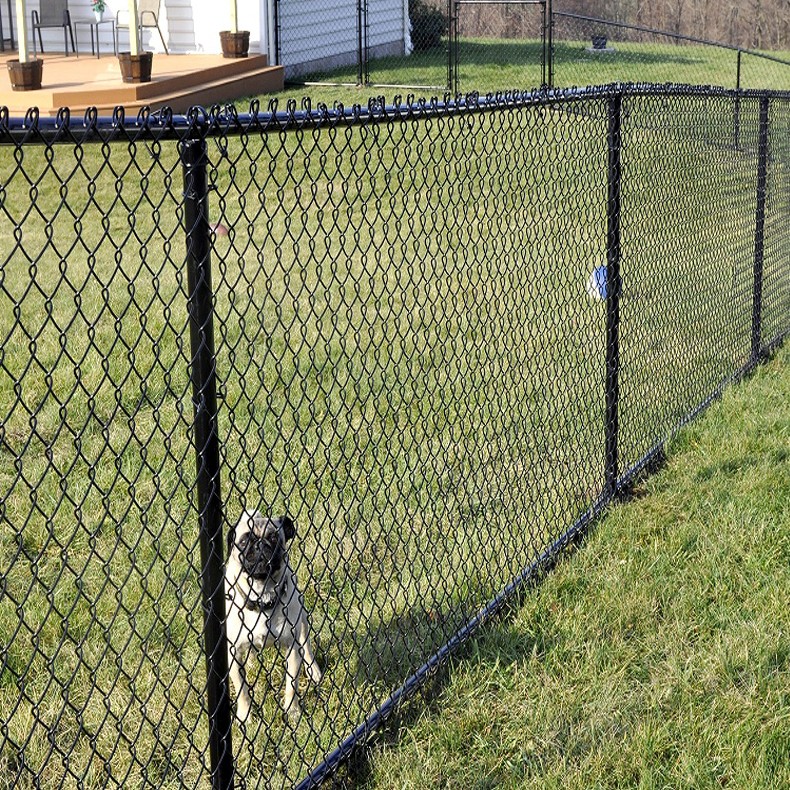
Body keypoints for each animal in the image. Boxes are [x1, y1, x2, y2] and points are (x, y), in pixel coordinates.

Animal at [224, 512, 324, 724]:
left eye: (273, 537)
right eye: (244, 541)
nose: (260, 544)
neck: (263, 595)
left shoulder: (292, 648)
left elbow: (291, 686)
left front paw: (292, 712)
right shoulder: (233, 654)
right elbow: (242, 691)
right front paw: (245, 716)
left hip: (302, 619)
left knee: (306, 644)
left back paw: (314, 670)